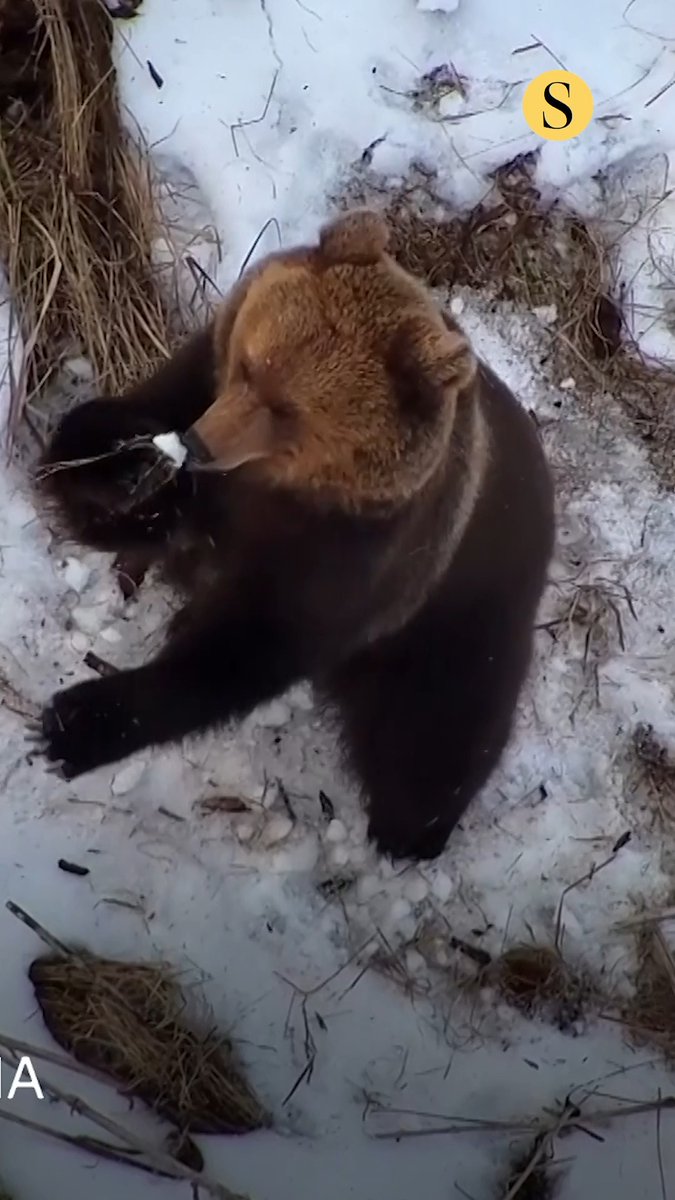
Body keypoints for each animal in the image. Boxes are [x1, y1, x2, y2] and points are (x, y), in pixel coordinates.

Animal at [33, 207, 555, 862]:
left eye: (287, 410)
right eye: (250, 366)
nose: (201, 444)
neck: (282, 486)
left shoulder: (358, 549)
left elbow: (247, 646)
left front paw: (76, 722)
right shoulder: (200, 376)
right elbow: (94, 459)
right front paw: (133, 466)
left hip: (462, 618)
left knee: (433, 741)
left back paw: (412, 832)